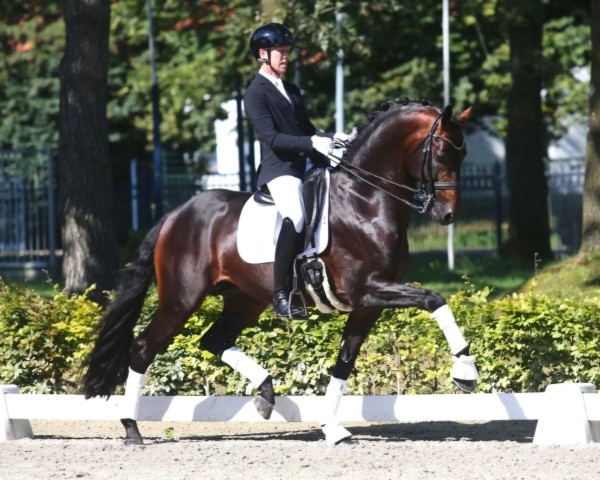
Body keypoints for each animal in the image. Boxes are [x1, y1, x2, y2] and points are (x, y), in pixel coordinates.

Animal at [83, 98, 478, 446]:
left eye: (463, 155)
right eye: (441, 153)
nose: (447, 215)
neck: (365, 200)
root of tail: (175, 214)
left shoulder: (368, 305)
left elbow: (344, 363)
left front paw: (332, 428)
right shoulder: (367, 288)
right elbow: (434, 299)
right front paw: (465, 371)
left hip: (244, 299)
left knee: (214, 341)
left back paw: (265, 392)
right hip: (182, 299)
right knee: (143, 348)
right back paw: (132, 428)